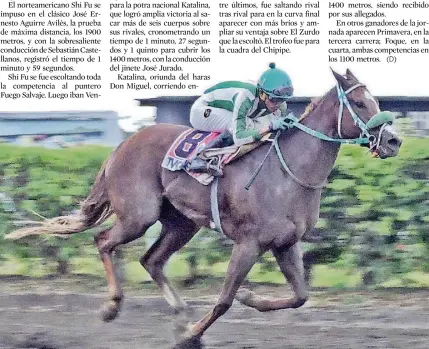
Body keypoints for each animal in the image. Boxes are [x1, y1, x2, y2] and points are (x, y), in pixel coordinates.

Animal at [5, 69, 402, 346]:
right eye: (361, 103)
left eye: (376, 100)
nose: (394, 141)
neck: (288, 171)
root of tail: (123, 145)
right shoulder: (249, 243)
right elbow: (224, 300)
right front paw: (192, 335)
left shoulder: (286, 243)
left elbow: (300, 297)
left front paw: (249, 297)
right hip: (139, 216)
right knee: (104, 241)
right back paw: (112, 307)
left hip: (182, 224)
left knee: (151, 260)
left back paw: (180, 313)